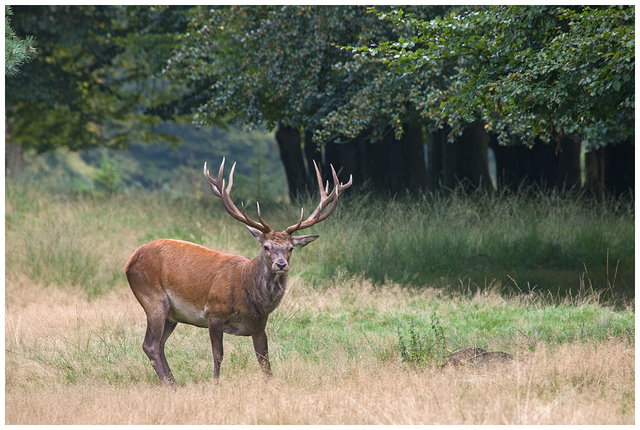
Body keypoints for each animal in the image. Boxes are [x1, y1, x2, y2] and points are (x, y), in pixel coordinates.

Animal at [124, 157, 350, 382]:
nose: (280, 264)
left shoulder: (260, 325)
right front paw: (215, 383)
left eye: (290, 248)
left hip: (172, 314)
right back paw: (170, 383)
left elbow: (264, 361)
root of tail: (130, 261)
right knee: (150, 345)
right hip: (153, 299)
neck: (251, 298)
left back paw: (173, 383)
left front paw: (270, 384)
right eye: (266, 247)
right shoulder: (213, 312)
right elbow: (218, 355)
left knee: (159, 344)